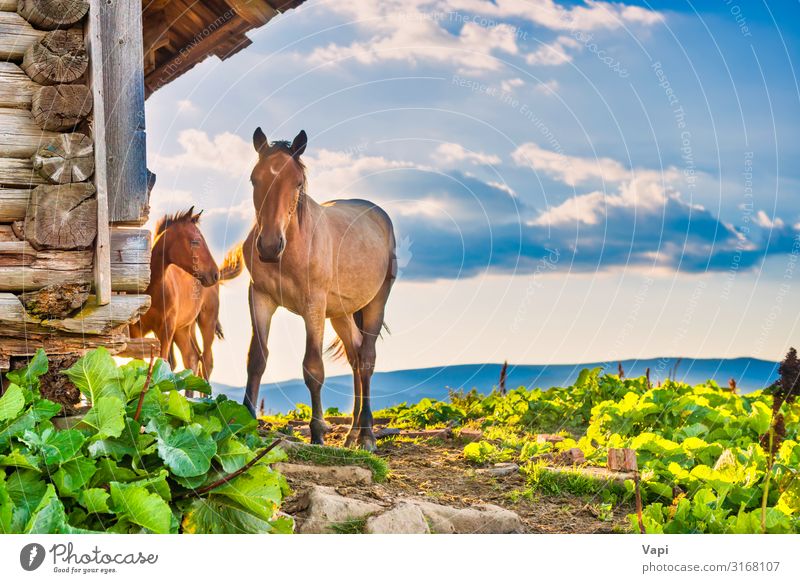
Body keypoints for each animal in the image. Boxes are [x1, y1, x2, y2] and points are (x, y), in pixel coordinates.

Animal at [130, 209, 244, 384]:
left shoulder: (166, 330)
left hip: (206, 321)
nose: (214, 274)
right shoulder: (136, 329)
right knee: (192, 358)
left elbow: (163, 364)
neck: (153, 290)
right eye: (195, 241)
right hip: (183, 329)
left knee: (206, 360)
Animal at [239, 129, 398, 452]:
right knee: (355, 355)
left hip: (375, 302)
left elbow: (313, 368)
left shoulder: (313, 306)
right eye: (254, 179)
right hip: (341, 313)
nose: (269, 246)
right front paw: (244, 422)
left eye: (297, 182)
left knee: (366, 360)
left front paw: (317, 434)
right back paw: (351, 433)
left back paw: (366, 435)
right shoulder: (259, 298)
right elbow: (256, 359)